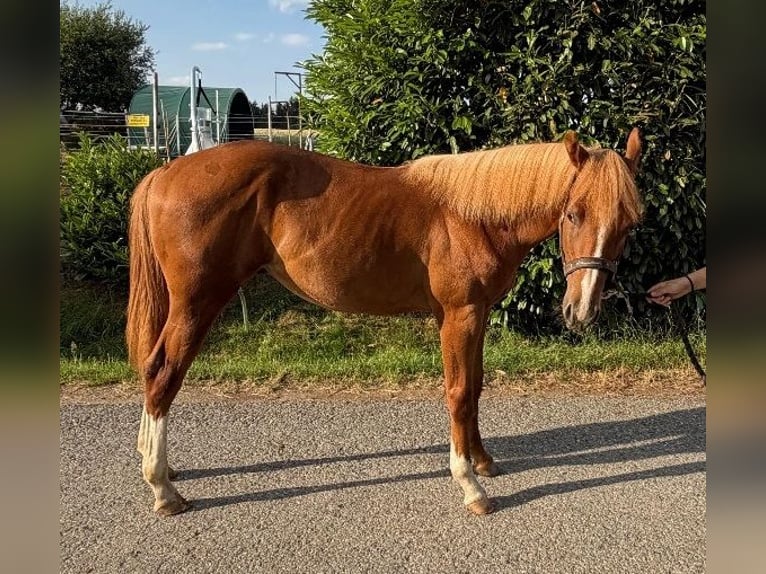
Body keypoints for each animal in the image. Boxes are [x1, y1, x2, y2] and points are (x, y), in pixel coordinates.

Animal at [127, 129, 643, 516]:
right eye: (573, 213)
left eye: (629, 224)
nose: (582, 310)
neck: (472, 217)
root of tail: (164, 171)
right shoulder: (459, 314)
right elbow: (458, 393)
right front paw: (470, 485)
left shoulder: (474, 314)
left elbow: (475, 387)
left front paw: (483, 461)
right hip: (196, 303)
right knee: (162, 373)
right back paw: (163, 488)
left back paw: (164, 469)